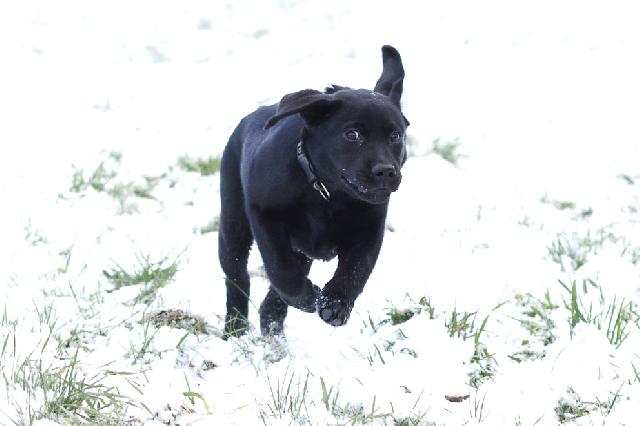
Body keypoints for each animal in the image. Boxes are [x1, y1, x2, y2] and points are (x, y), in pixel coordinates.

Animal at [219, 45, 409, 337]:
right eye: (352, 134)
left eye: (395, 136)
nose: (386, 171)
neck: (328, 196)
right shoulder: (265, 218)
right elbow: (281, 271)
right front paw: (309, 298)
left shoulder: (370, 229)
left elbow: (356, 270)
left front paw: (335, 305)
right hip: (233, 225)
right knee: (237, 277)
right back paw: (235, 328)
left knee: (271, 299)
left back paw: (272, 328)